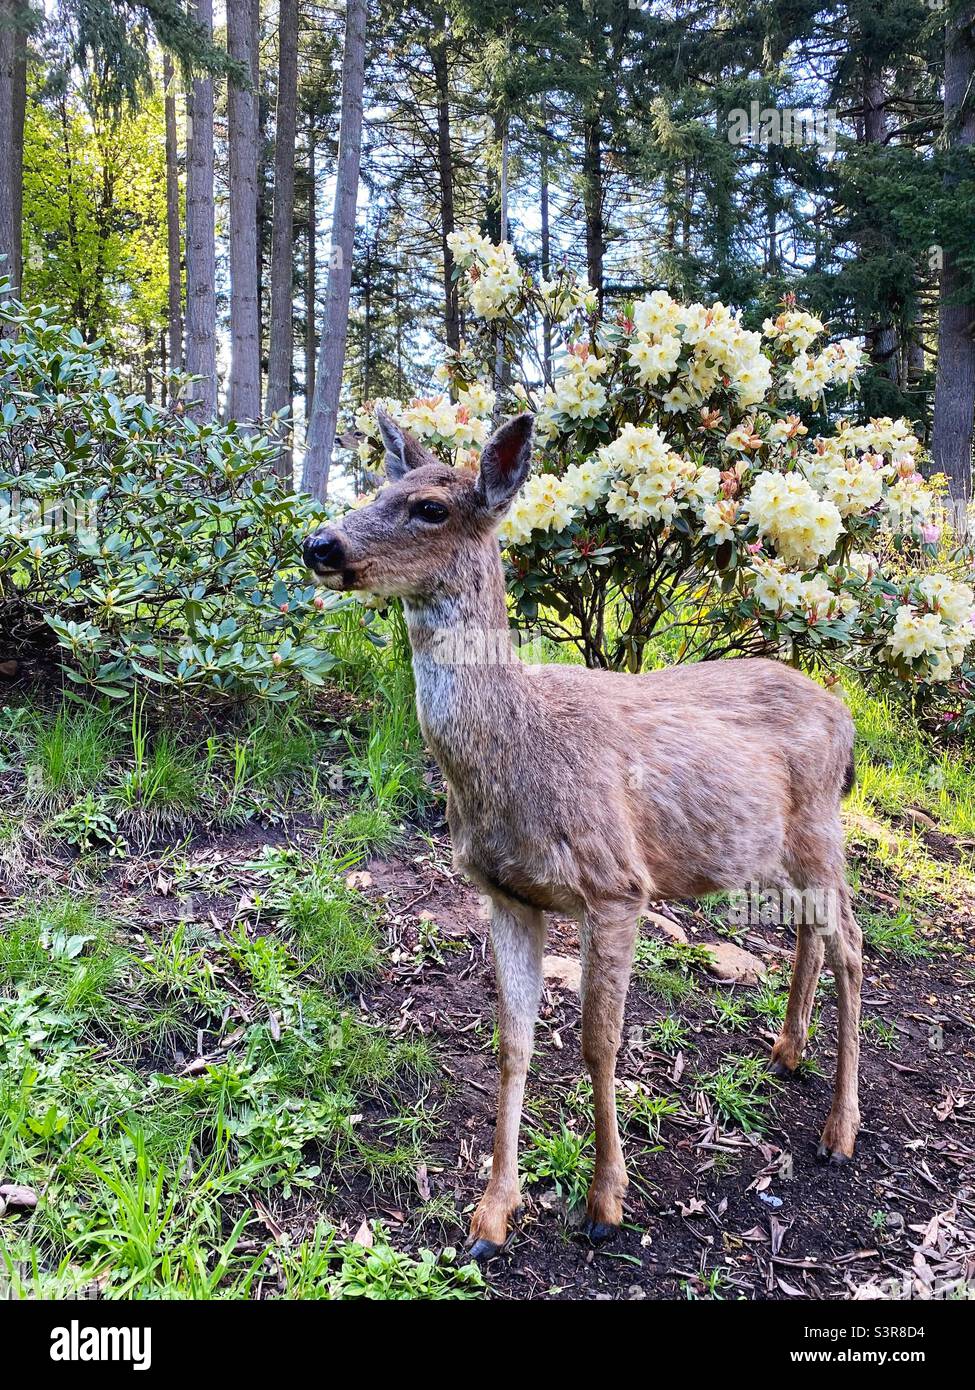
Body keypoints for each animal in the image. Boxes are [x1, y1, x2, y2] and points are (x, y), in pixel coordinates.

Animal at [304, 408, 856, 1262]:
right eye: (376, 488)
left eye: (429, 507)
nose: (319, 544)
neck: (518, 751)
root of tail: (844, 714)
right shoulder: (503, 894)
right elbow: (512, 1042)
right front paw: (490, 1217)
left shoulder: (616, 886)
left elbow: (600, 1044)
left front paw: (605, 1202)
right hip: (764, 847)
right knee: (809, 934)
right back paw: (786, 1051)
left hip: (821, 829)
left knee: (853, 947)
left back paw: (839, 1130)